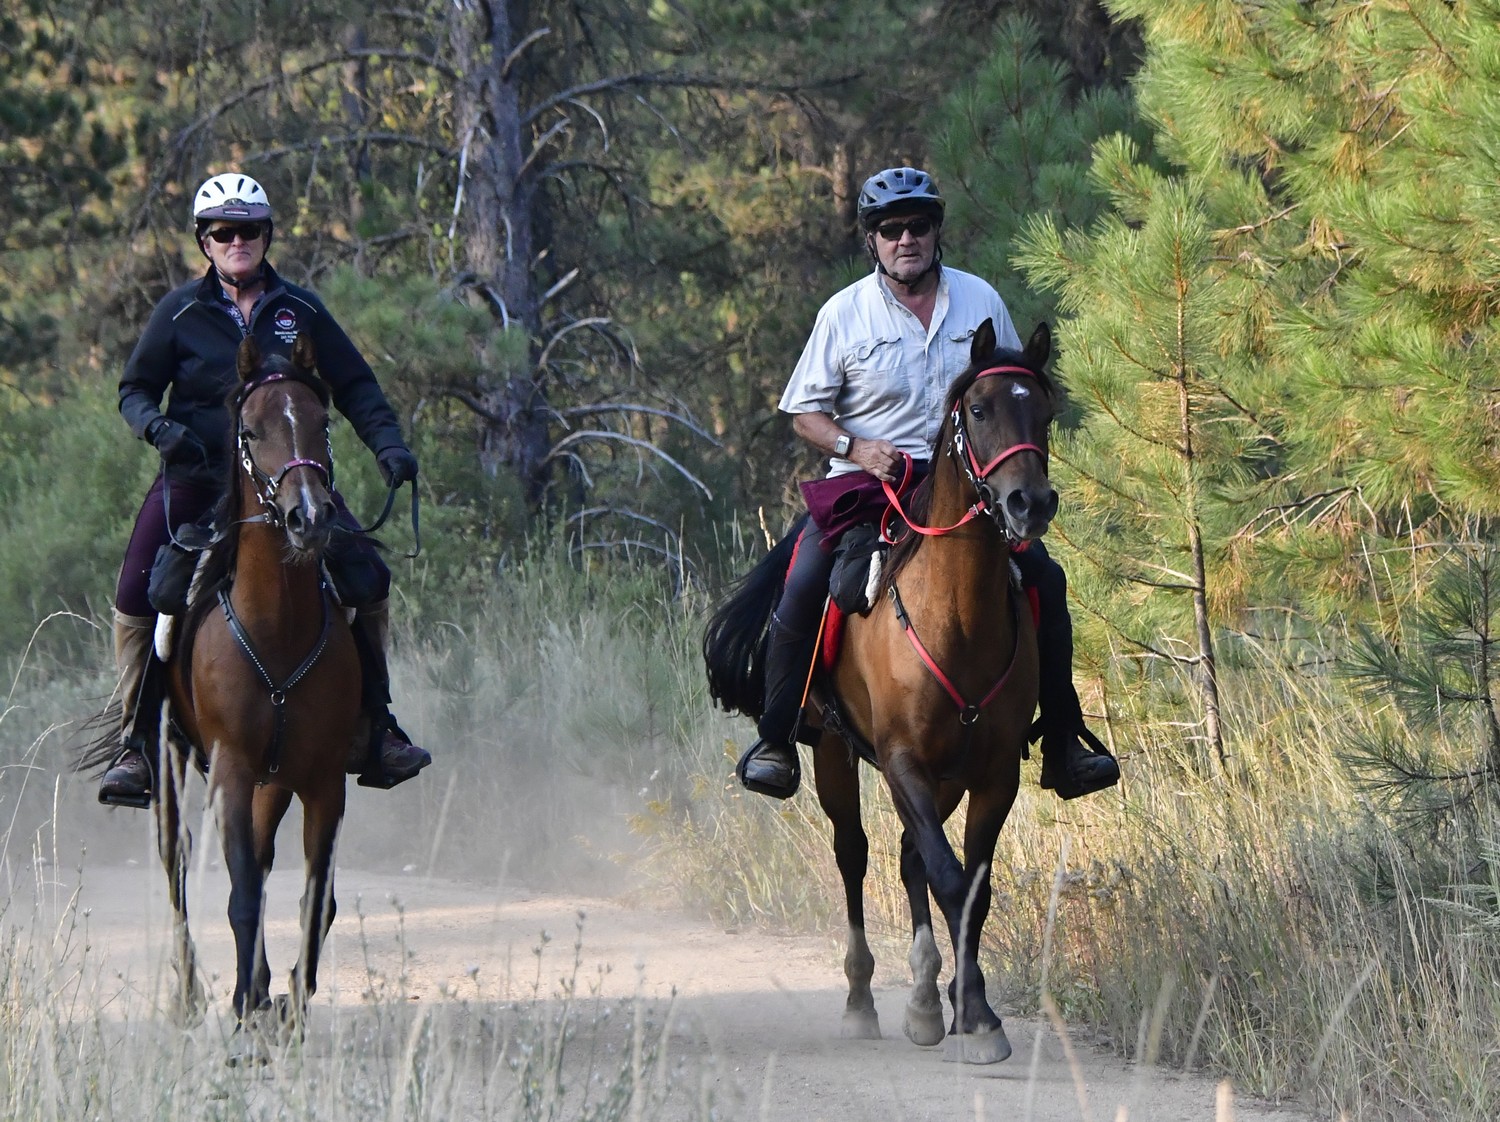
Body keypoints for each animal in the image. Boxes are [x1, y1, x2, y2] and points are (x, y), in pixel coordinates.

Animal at [702, 319, 1056, 1068]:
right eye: (978, 409)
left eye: (1044, 411)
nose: (1030, 504)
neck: (957, 615)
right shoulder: (901, 760)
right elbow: (949, 877)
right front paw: (977, 1014)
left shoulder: (993, 772)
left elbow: (970, 886)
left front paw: (963, 1007)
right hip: (836, 755)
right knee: (857, 853)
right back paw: (863, 1002)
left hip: (942, 775)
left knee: (906, 854)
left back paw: (923, 1001)